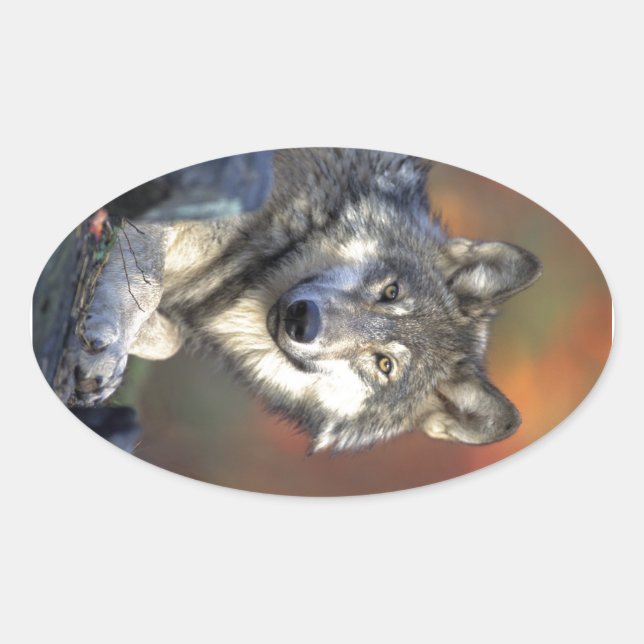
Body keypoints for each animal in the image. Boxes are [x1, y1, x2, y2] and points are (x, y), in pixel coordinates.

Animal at [68, 148, 542, 452]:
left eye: (384, 364)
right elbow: (146, 279)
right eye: (391, 292)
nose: (303, 320)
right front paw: (104, 351)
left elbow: (169, 336)